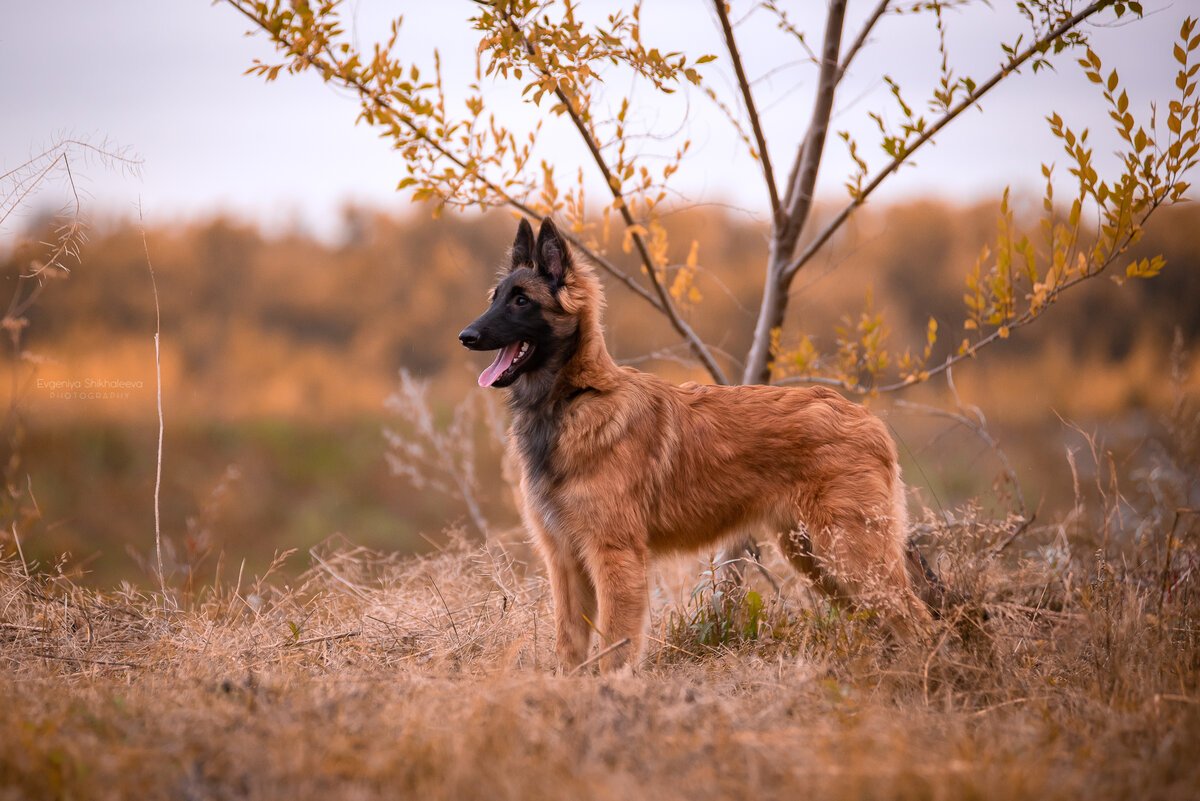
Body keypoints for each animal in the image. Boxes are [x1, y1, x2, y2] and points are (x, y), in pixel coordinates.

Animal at [458, 217, 945, 671]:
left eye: (522, 300)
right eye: (494, 298)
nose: (466, 336)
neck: (576, 397)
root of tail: (867, 416)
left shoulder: (615, 558)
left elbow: (615, 648)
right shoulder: (565, 562)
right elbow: (570, 648)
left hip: (849, 555)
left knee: (918, 622)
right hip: (820, 561)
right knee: (888, 624)